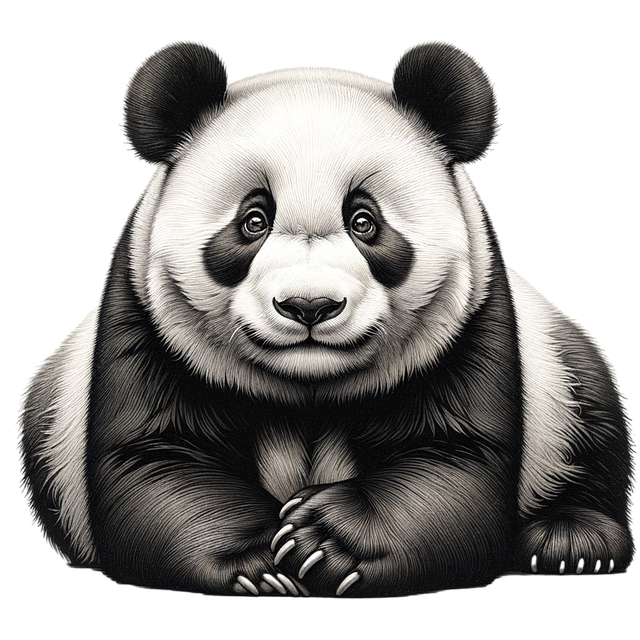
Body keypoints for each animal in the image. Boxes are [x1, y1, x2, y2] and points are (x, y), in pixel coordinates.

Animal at [19, 40, 634, 598]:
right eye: (253, 220)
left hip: (557, 372)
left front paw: (326, 539)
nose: (309, 306)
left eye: (365, 221)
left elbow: (457, 455)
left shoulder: (474, 319)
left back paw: (571, 539)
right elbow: (153, 458)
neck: (308, 390)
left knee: (590, 417)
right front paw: (258, 562)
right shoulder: (143, 320)